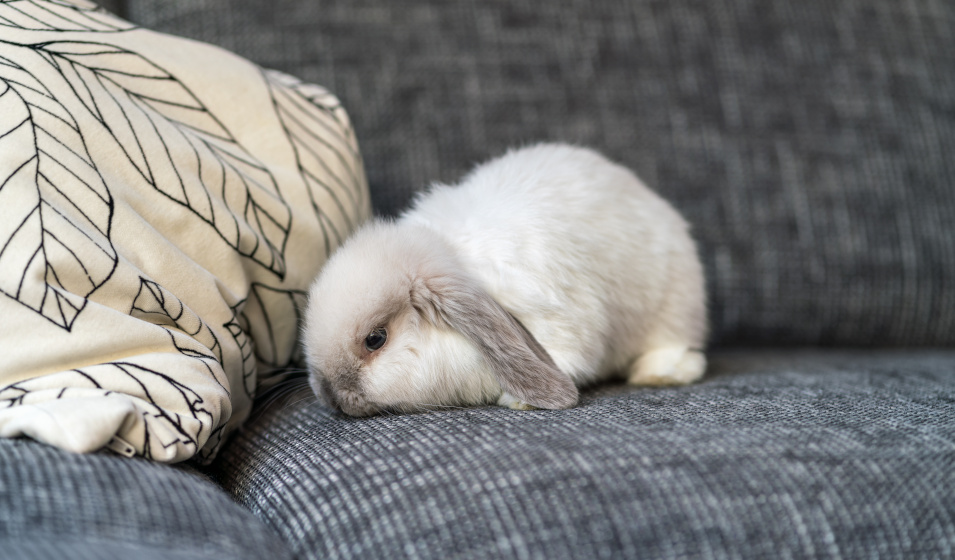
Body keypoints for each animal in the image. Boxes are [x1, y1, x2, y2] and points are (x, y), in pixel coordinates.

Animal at [302, 143, 707, 416]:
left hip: (673, 307)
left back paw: (659, 374)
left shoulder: (564, 328)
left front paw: (517, 401)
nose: (330, 397)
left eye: (376, 339)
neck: (453, 258)